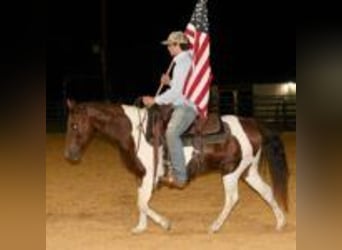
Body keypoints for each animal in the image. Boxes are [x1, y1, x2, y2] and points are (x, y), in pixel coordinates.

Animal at [64, 98, 288, 233]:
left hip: (230, 171)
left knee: (232, 199)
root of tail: (252, 124)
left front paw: (165, 223)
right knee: (267, 191)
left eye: (74, 125)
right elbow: (141, 201)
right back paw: (280, 222)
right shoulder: (141, 175)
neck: (135, 132)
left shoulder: (150, 176)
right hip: (248, 171)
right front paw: (140, 227)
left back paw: (214, 226)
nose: (69, 155)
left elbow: (142, 203)